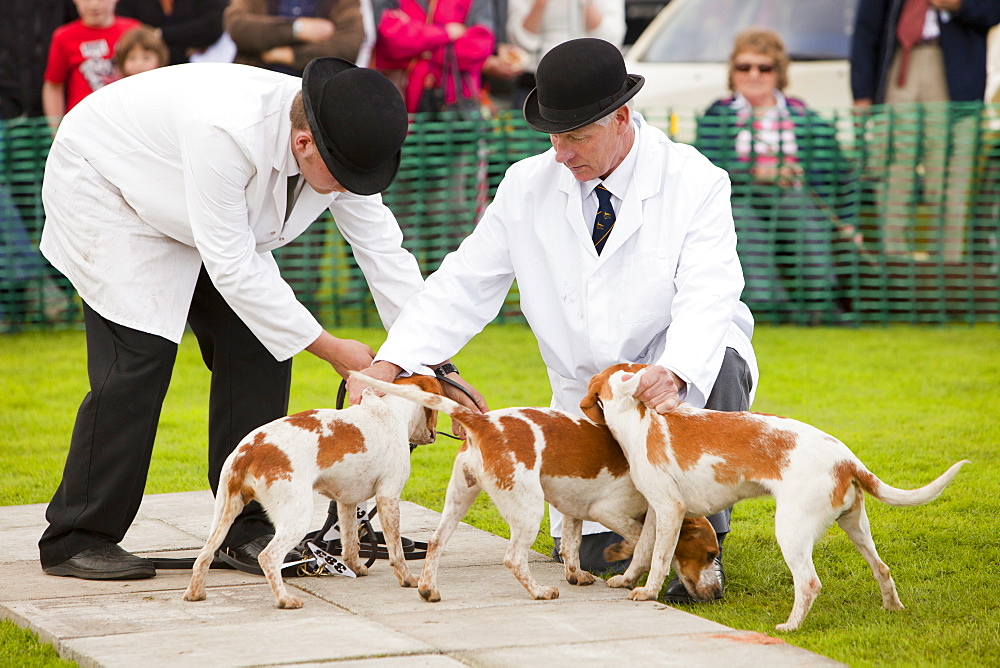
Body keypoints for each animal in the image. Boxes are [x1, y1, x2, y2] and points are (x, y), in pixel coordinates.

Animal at [184, 378, 442, 608]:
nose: (435, 434)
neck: (389, 409)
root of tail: (249, 451)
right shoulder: (388, 496)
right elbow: (396, 551)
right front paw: (408, 580)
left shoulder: (347, 502)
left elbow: (350, 543)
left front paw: (355, 568)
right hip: (297, 517)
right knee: (268, 557)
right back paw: (284, 600)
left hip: (224, 514)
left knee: (204, 555)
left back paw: (195, 594)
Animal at [352, 374, 720, 604]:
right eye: (709, 555)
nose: (717, 594)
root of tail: (483, 422)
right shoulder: (609, 510)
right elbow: (640, 538)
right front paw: (621, 557)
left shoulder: (574, 510)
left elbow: (572, 548)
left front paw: (577, 575)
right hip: (528, 510)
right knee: (514, 558)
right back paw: (540, 592)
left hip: (459, 499)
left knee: (435, 543)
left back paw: (428, 589)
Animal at [584, 366, 968, 632]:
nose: (714, 595)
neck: (639, 418)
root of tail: (847, 458)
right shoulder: (656, 513)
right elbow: (643, 551)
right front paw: (627, 580)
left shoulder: (670, 509)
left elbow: (660, 559)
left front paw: (647, 592)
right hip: (856, 526)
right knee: (883, 568)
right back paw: (893, 609)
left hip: (791, 530)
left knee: (809, 583)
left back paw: (790, 627)